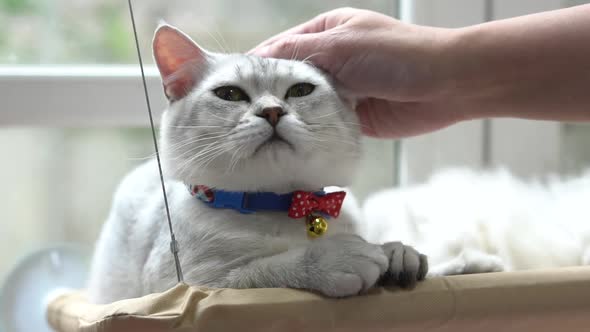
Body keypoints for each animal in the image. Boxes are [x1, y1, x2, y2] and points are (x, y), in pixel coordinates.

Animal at [88, 23, 428, 304]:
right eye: (229, 94)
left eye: (300, 90)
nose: (272, 111)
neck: (281, 206)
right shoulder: (189, 285)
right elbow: (259, 270)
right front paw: (342, 256)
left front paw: (395, 252)